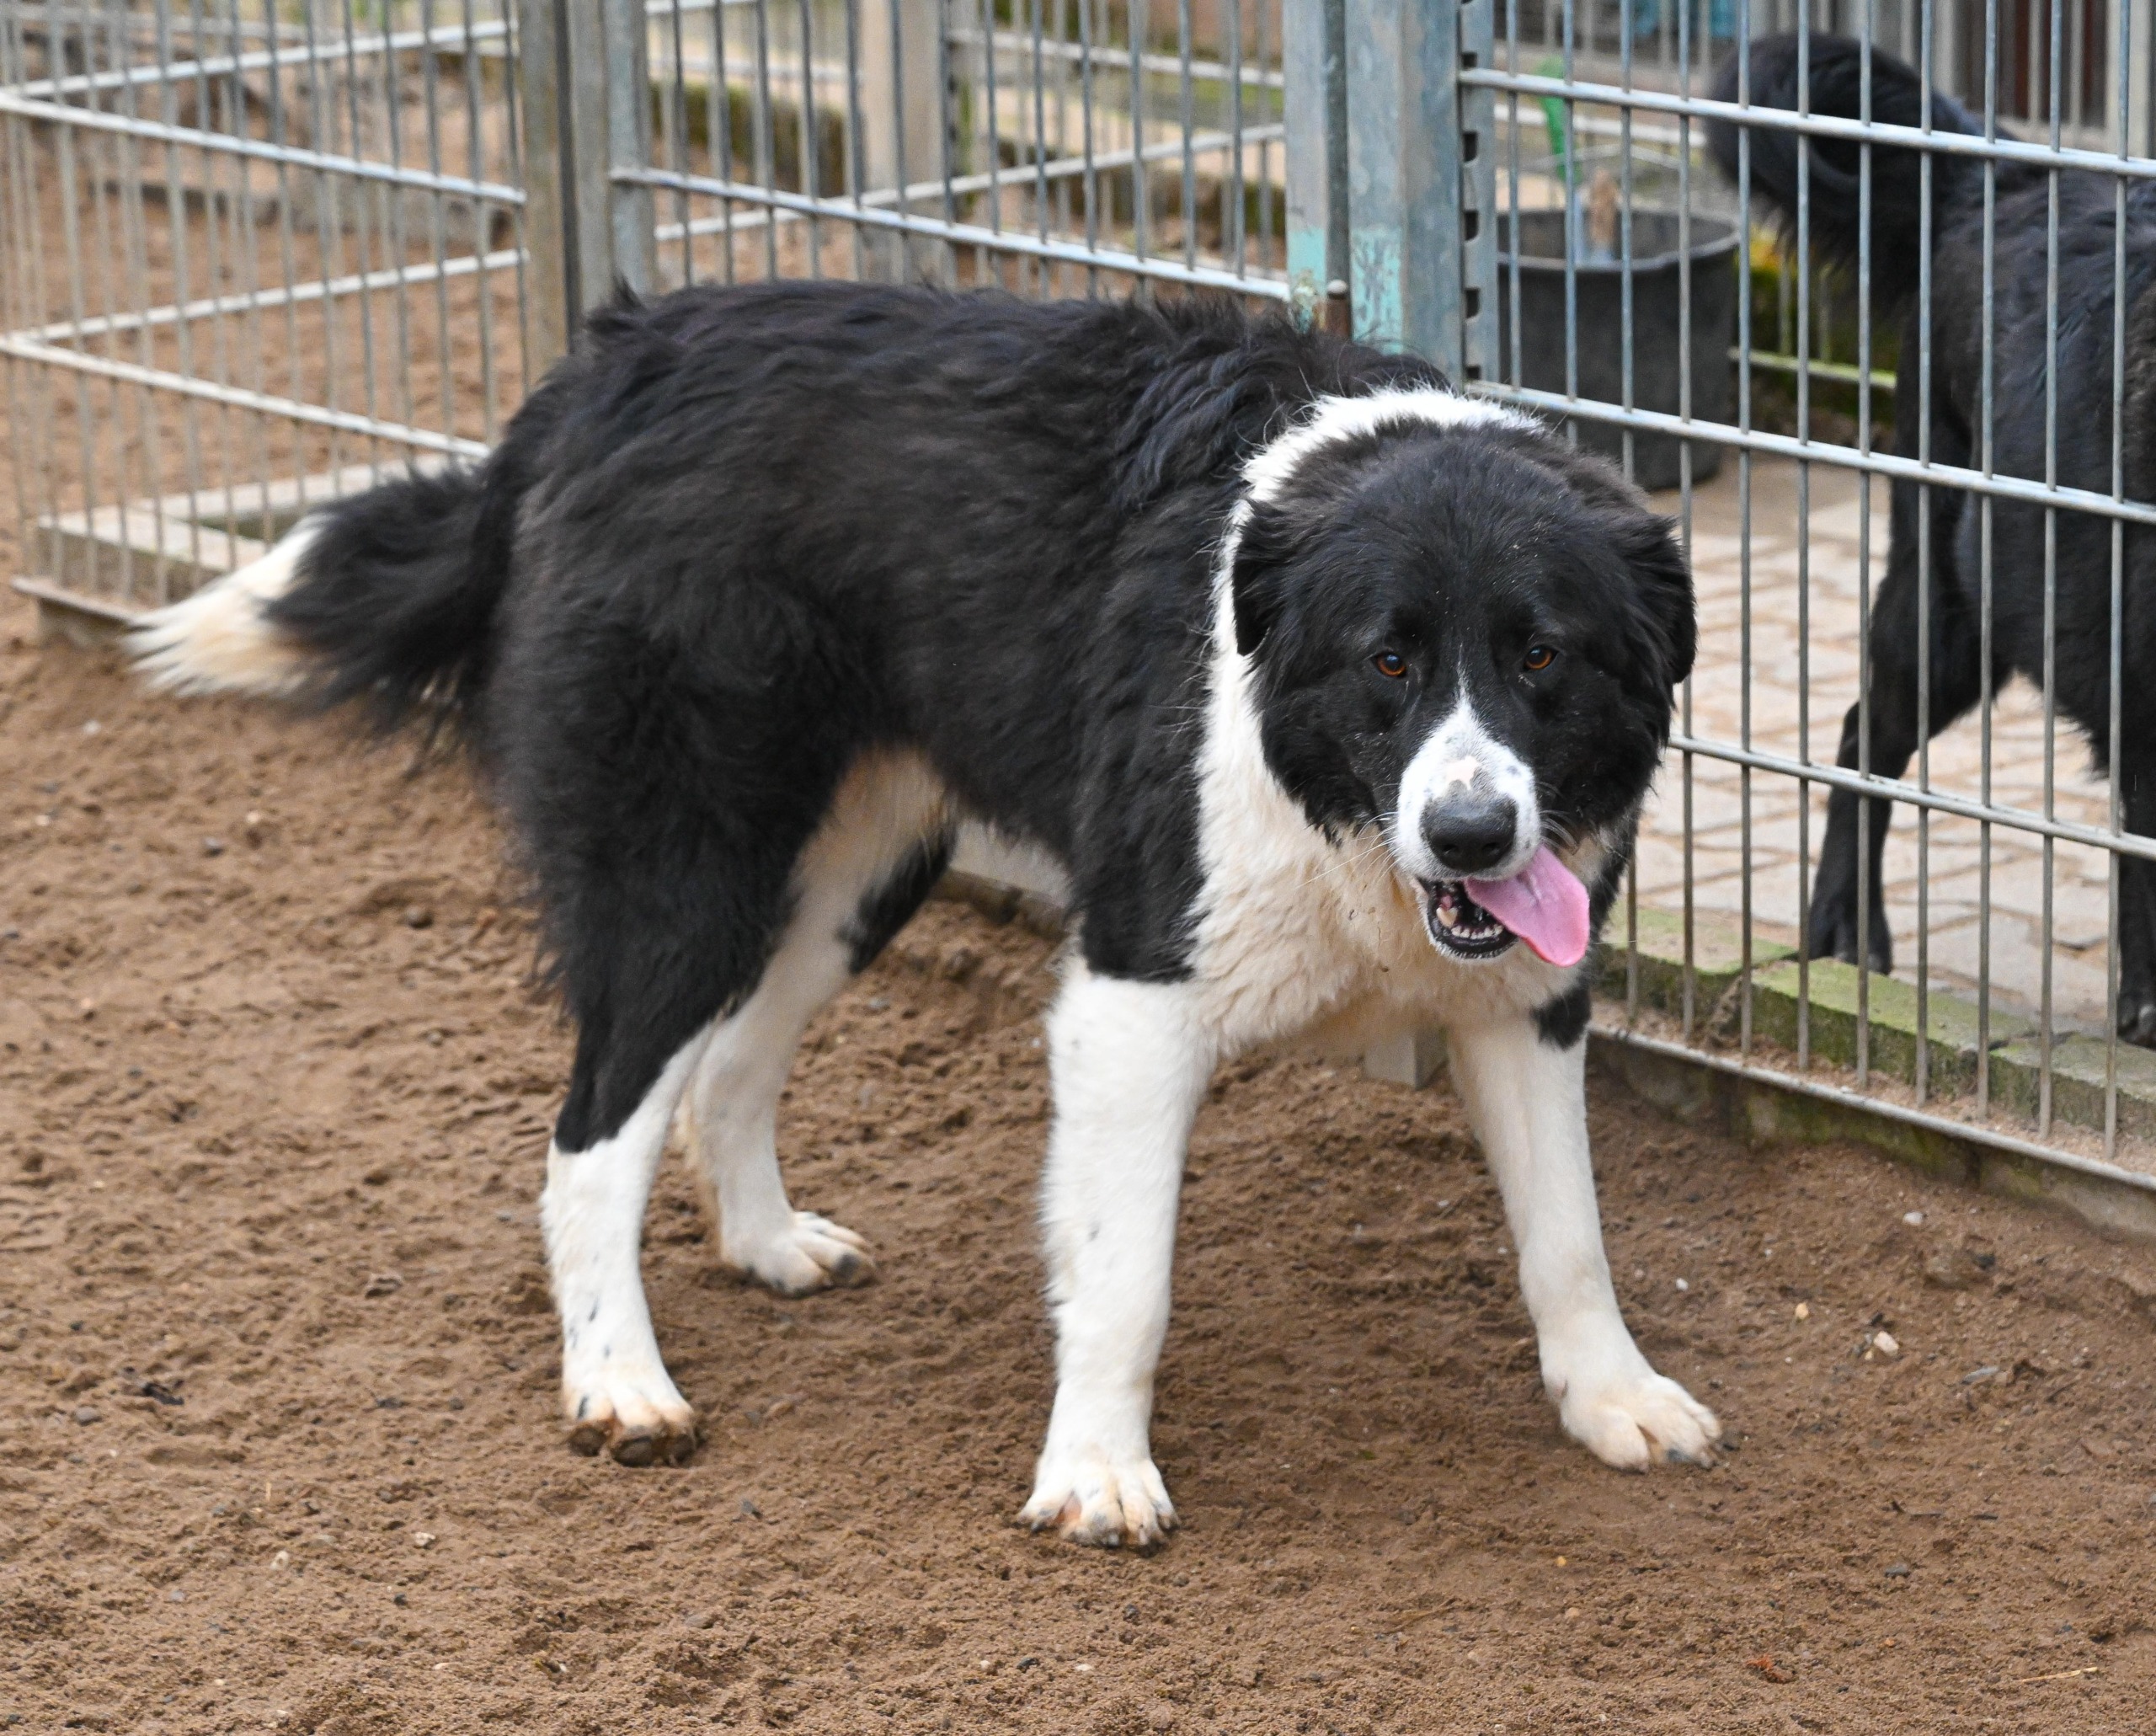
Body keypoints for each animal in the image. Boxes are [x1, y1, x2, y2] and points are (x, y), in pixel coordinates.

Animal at [131, 281, 1717, 1545]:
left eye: (1543, 658)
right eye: (1389, 663)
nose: (1473, 831)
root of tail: (608, 365)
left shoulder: (1528, 998)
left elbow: (1571, 1234)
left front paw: (1614, 1397)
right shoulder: (1132, 995)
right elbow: (1126, 1274)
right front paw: (1095, 1472)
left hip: (846, 880)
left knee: (727, 1072)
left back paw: (768, 1244)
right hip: (686, 873)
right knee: (590, 1136)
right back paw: (620, 1383)